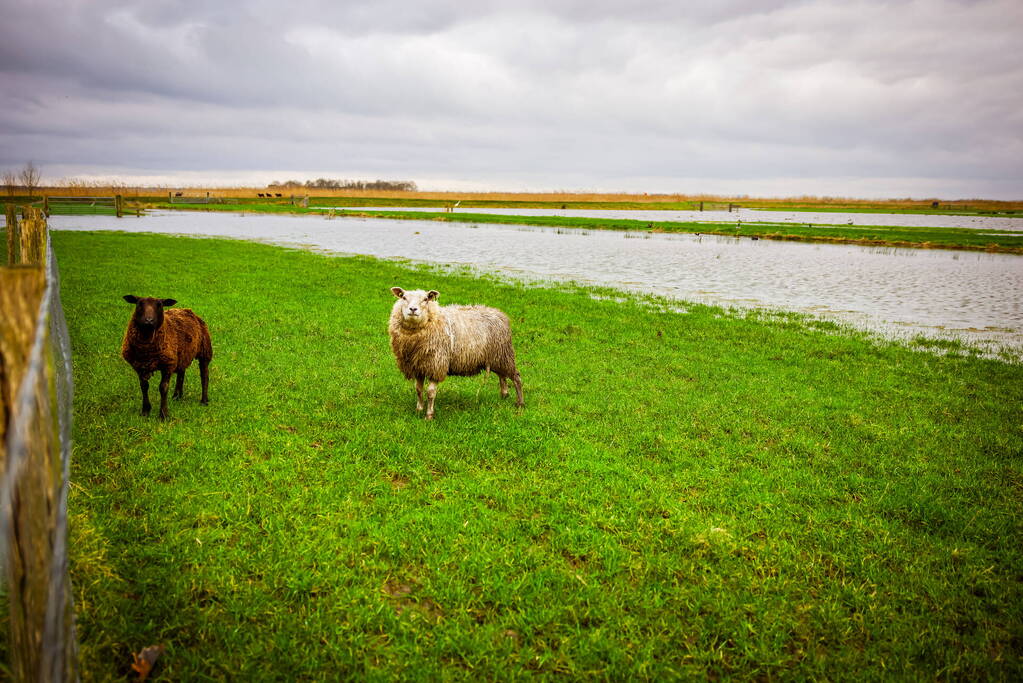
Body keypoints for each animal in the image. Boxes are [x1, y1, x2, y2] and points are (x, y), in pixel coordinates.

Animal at [386, 286, 523, 419]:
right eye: (403, 297)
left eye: (425, 299)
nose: (413, 309)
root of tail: (500, 313)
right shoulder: (418, 366)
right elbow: (418, 390)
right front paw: (418, 410)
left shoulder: (437, 365)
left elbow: (430, 393)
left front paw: (429, 415)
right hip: (497, 358)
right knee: (502, 375)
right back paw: (504, 395)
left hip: (504, 354)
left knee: (516, 377)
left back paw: (520, 403)